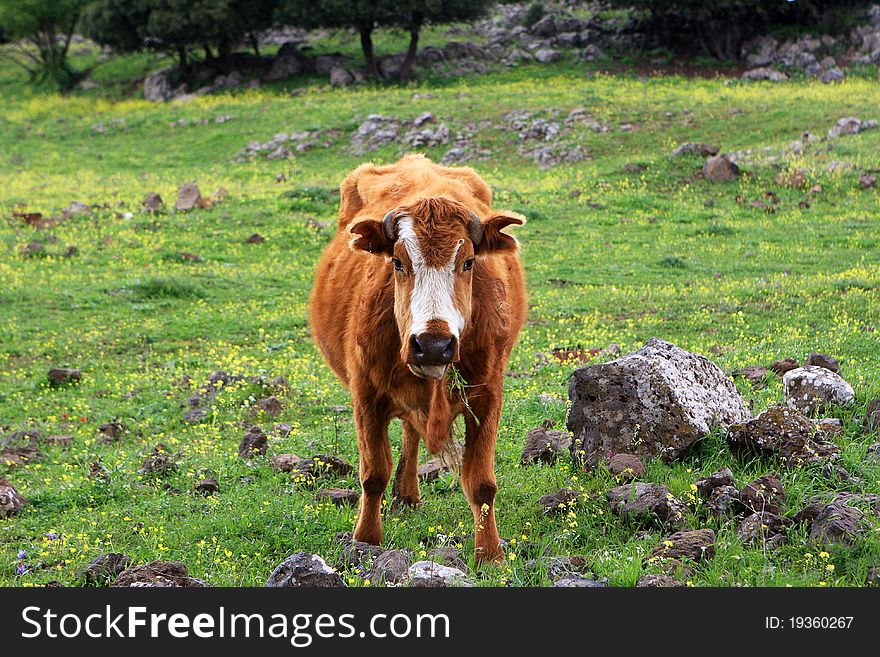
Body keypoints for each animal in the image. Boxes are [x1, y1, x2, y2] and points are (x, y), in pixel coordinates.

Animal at [310, 155, 524, 564]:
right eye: (397, 261)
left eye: (468, 262)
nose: (434, 344)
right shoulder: (366, 395)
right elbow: (373, 473)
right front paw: (366, 541)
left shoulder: (488, 395)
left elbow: (481, 483)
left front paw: (490, 553)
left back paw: (408, 493)